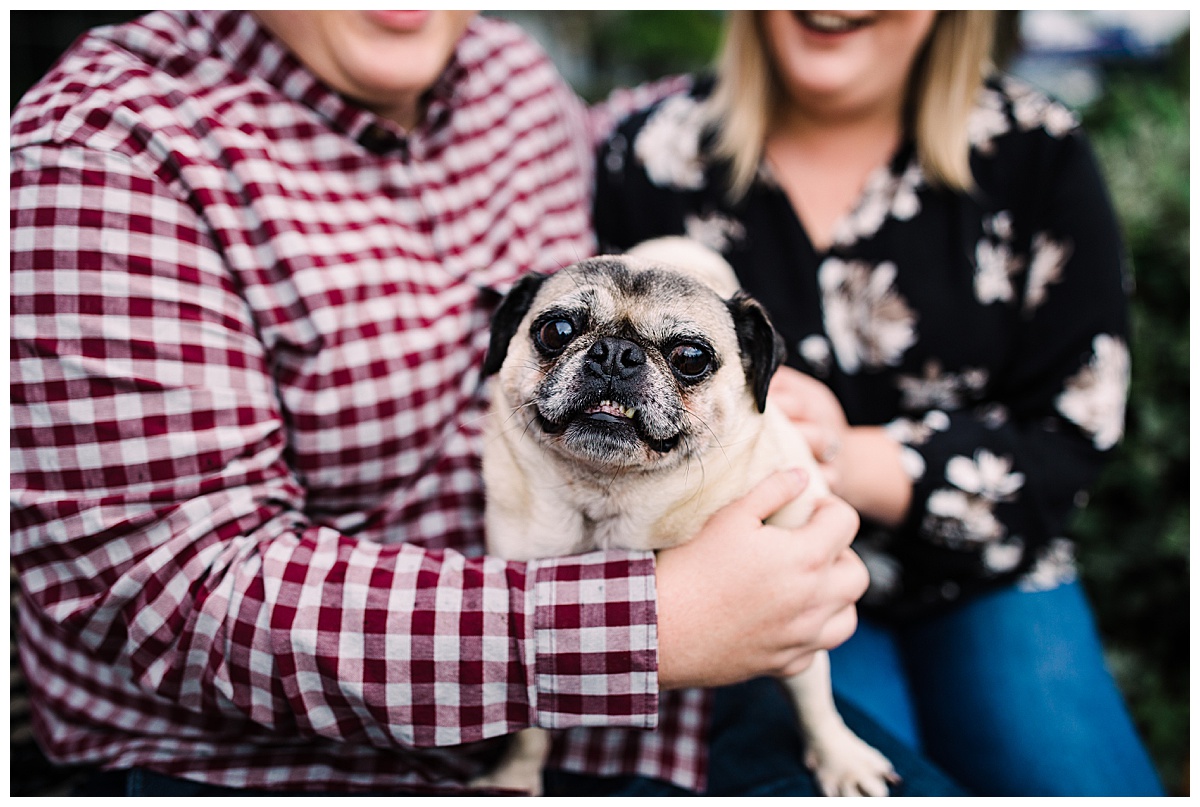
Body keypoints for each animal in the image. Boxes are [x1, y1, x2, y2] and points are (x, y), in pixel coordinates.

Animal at [472, 236, 897, 797]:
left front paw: (841, 758)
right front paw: (513, 779)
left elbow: (812, 694)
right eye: (556, 331)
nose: (616, 353)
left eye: (690, 358)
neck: (612, 499)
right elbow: (528, 725)